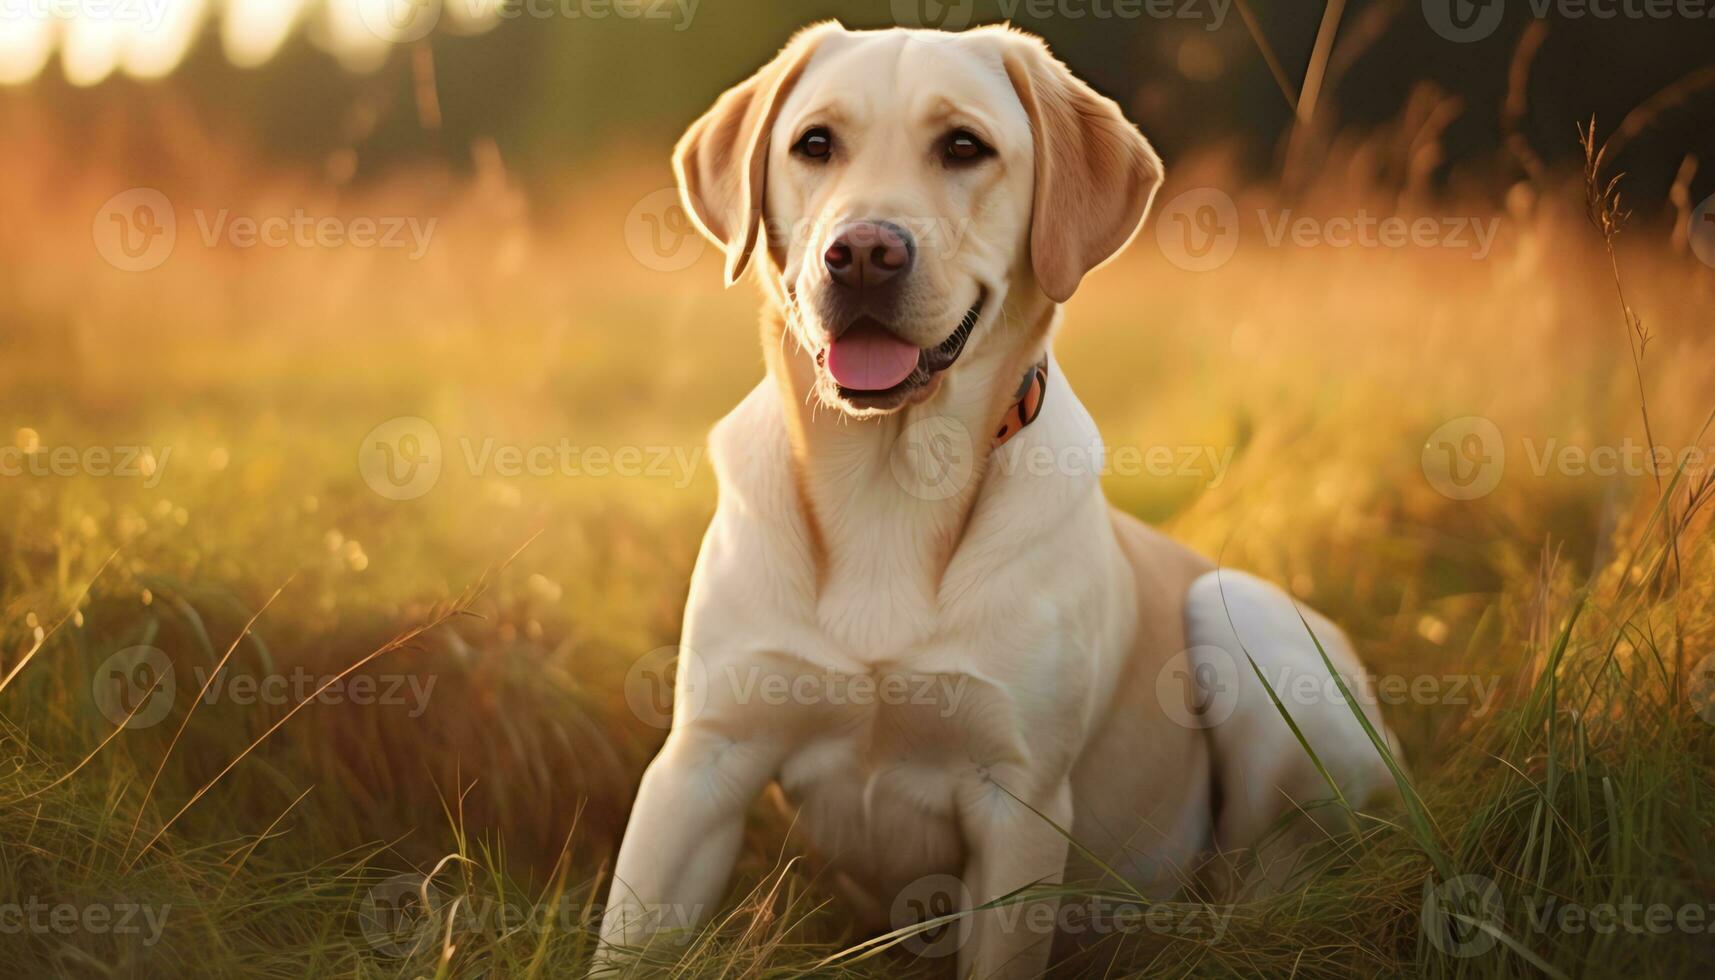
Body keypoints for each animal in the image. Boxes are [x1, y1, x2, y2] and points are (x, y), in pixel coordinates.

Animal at [600, 22, 1392, 980]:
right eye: (814, 145)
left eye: (963, 147)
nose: (862, 253)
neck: (888, 480)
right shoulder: (700, 766)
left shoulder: (1019, 805)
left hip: (1241, 617)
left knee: (1269, 874)